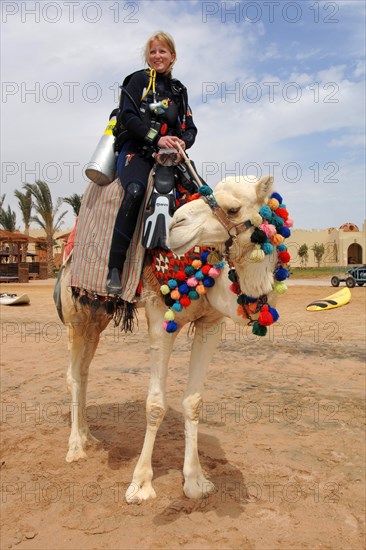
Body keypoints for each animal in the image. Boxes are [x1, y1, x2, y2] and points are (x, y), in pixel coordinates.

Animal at [57, 176, 288, 504]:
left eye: (233, 209)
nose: (175, 226)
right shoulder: (159, 317)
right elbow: (155, 405)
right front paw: (140, 484)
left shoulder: (211, 324)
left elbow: (194, 401)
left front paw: (196, 481)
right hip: (76, 310)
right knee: (73, 375)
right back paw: (76, 447)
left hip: (98, 316)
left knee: (86, 370)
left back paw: (90, 436)